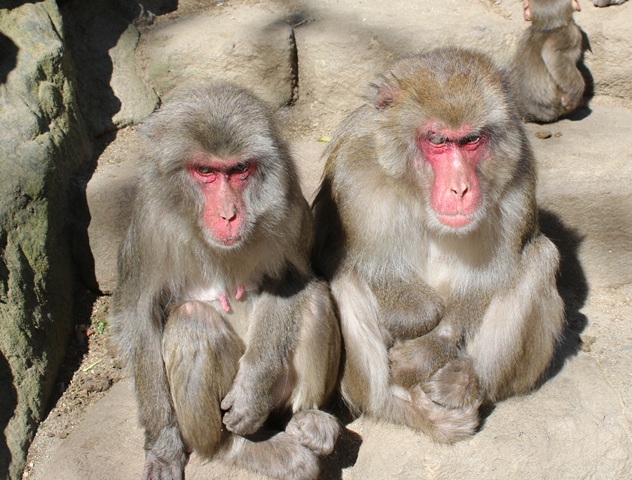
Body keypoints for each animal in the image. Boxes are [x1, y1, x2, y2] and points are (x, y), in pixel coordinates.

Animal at [111, 82, 344, 480]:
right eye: (205, 170)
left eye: (239, 170)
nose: (229, 214)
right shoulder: (148, 227)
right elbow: (140, 319)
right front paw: (162, 447)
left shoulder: (290, 209)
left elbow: (291, 281)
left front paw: (253, 389)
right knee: (193, 321)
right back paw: (235, 447)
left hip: (278, 399)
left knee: (314, 298)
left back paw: (307, 419)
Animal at [314, 46, 564, 442]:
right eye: (438, 141)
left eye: (471, 139)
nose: (461, 188)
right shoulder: (353, 177)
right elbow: (351, 260)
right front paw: (419, 315)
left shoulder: (518, 174)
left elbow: (492, 275)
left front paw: (427, 352)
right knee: (345, 278)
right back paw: (399, 408)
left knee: (540, 257)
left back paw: (467, 381)